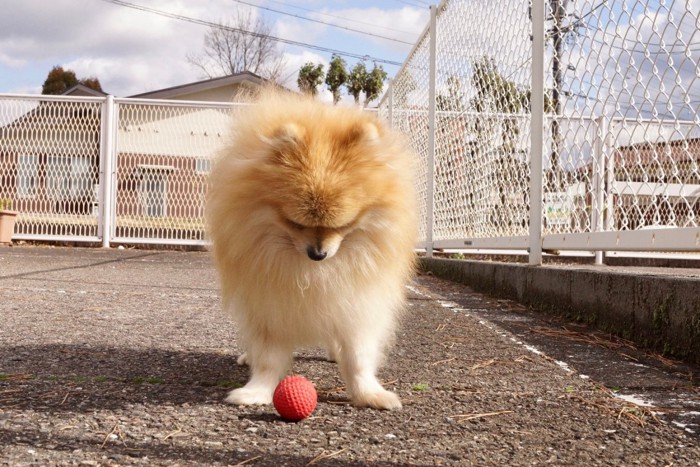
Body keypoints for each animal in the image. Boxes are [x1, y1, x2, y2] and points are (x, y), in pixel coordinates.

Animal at [206, 90, 416, 410]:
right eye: (294, 222)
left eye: (344, 224)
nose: (318, 253)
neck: (312, 273)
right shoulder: (269, 306)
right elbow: (268, 357)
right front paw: (257, 391)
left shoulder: (358, 304)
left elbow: (358, 356)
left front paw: (368, 393)